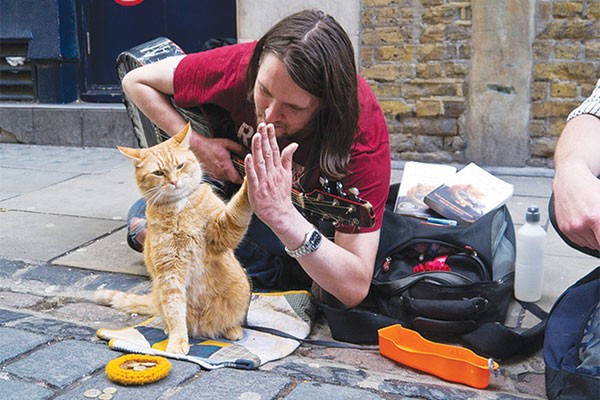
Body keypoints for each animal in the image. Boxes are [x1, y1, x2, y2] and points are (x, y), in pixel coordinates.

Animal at [94, 122, 253, 354]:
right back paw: (172, 330)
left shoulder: (222, 231)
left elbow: (238, 208)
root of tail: (203, 329)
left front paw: (254, 174)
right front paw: (177, 341)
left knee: (230, 321)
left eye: (180, 166)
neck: (179, 207)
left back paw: (232, 329)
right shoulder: (169, 271)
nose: (174, 182)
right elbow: (175, 310)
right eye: (159, 173)